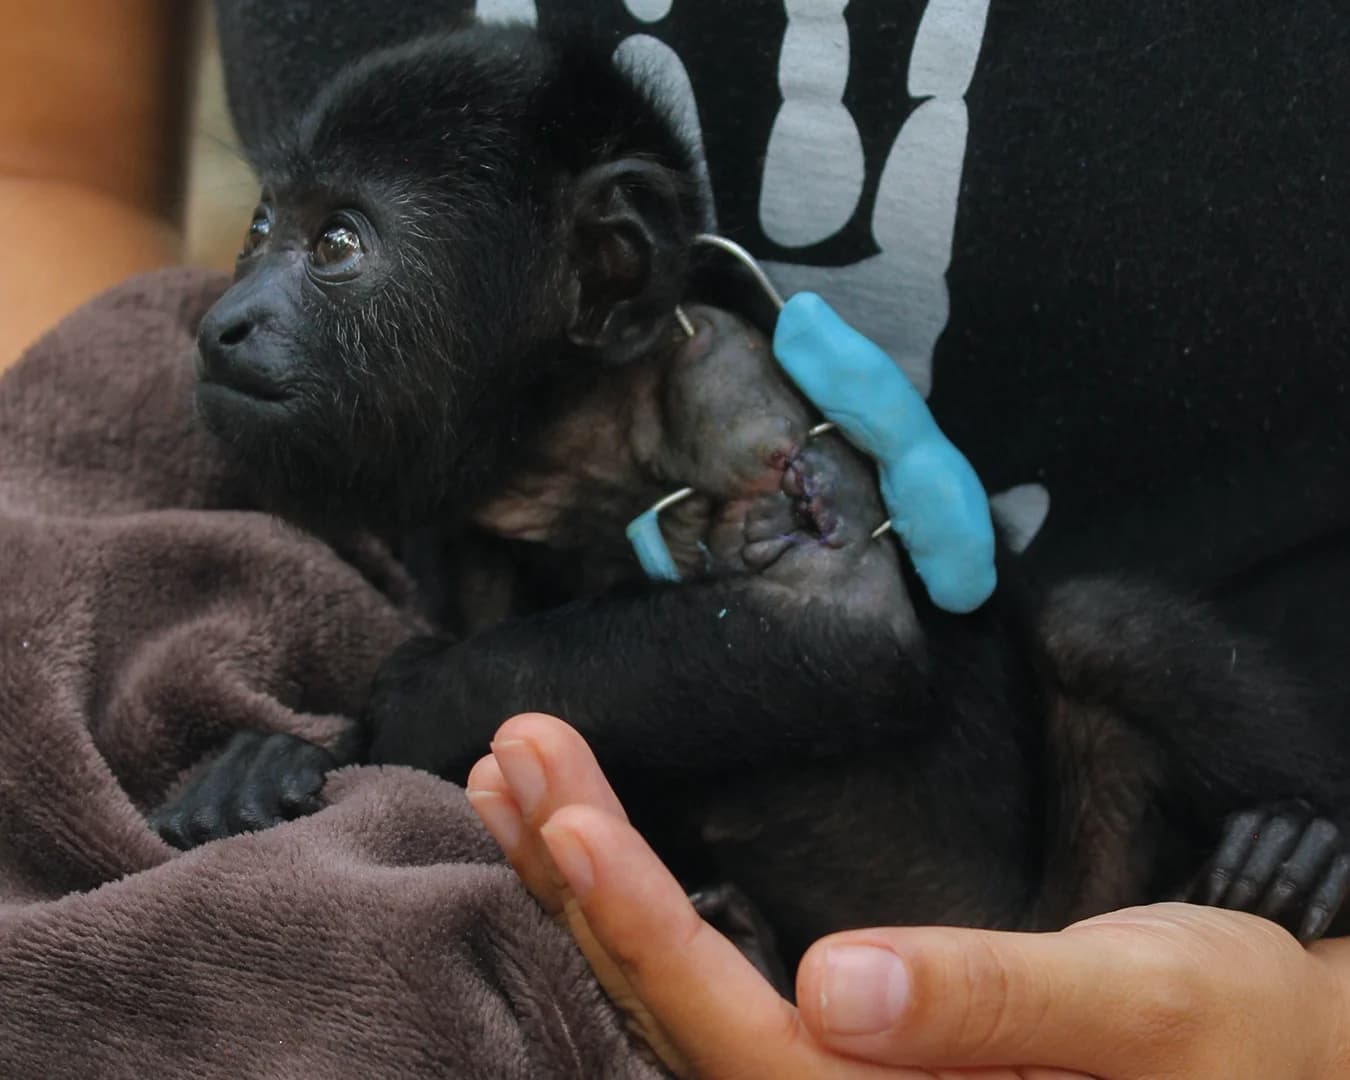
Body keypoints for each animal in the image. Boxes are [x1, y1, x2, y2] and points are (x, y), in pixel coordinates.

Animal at [152, 20, 1350, 971]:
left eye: (337, 241)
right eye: (259, 229)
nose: (227, 322)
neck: (571, 438)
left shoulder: (730, 385)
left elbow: (847, 634)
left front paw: (395, 709)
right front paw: (284, 758)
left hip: (1083, 903)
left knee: (1105, 624)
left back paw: (1308, 850)